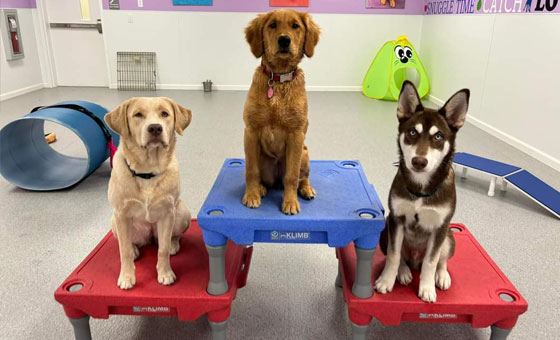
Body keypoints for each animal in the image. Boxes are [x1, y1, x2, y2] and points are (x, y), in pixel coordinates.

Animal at [105, 97, 192, 290]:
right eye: (138, 114)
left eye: (164, 114)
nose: (155, 128)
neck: (147, 172)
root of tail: (150, 236)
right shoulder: (121, 214)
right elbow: (124, 251)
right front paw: (127, 277)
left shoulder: (167, 214)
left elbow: (163, 250)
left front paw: (165, 273)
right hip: (114, 220)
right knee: (128, 243)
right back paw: (135, 249)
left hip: (182, 212)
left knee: (170, 238)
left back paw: (174, 244)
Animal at [243, 9, 322, 215]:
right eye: (272, 25)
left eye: (295, 26)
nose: (284, 40)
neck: (277, 80)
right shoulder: (251, 131)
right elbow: (251, 171)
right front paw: (252, 195)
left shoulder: (296, 135)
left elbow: (292, 177)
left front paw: (290, 202)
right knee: (261, 175)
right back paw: (261, 188)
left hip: (304, 153)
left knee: (302, 177)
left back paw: (306, 189)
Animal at [376, 80, 468, 302]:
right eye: (412, 132)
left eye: (438, 136)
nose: (419, 161)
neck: (421, 189)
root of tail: (414, 261)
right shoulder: (397, 218)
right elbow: (394, 255)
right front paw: (386, 280)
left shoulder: (440, 226)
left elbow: (431, 261)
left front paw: (427, 288)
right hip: (385, 231)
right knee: (402, 256)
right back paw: (403, 271)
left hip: (449, 237)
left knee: (441, 259)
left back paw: (442, 276)